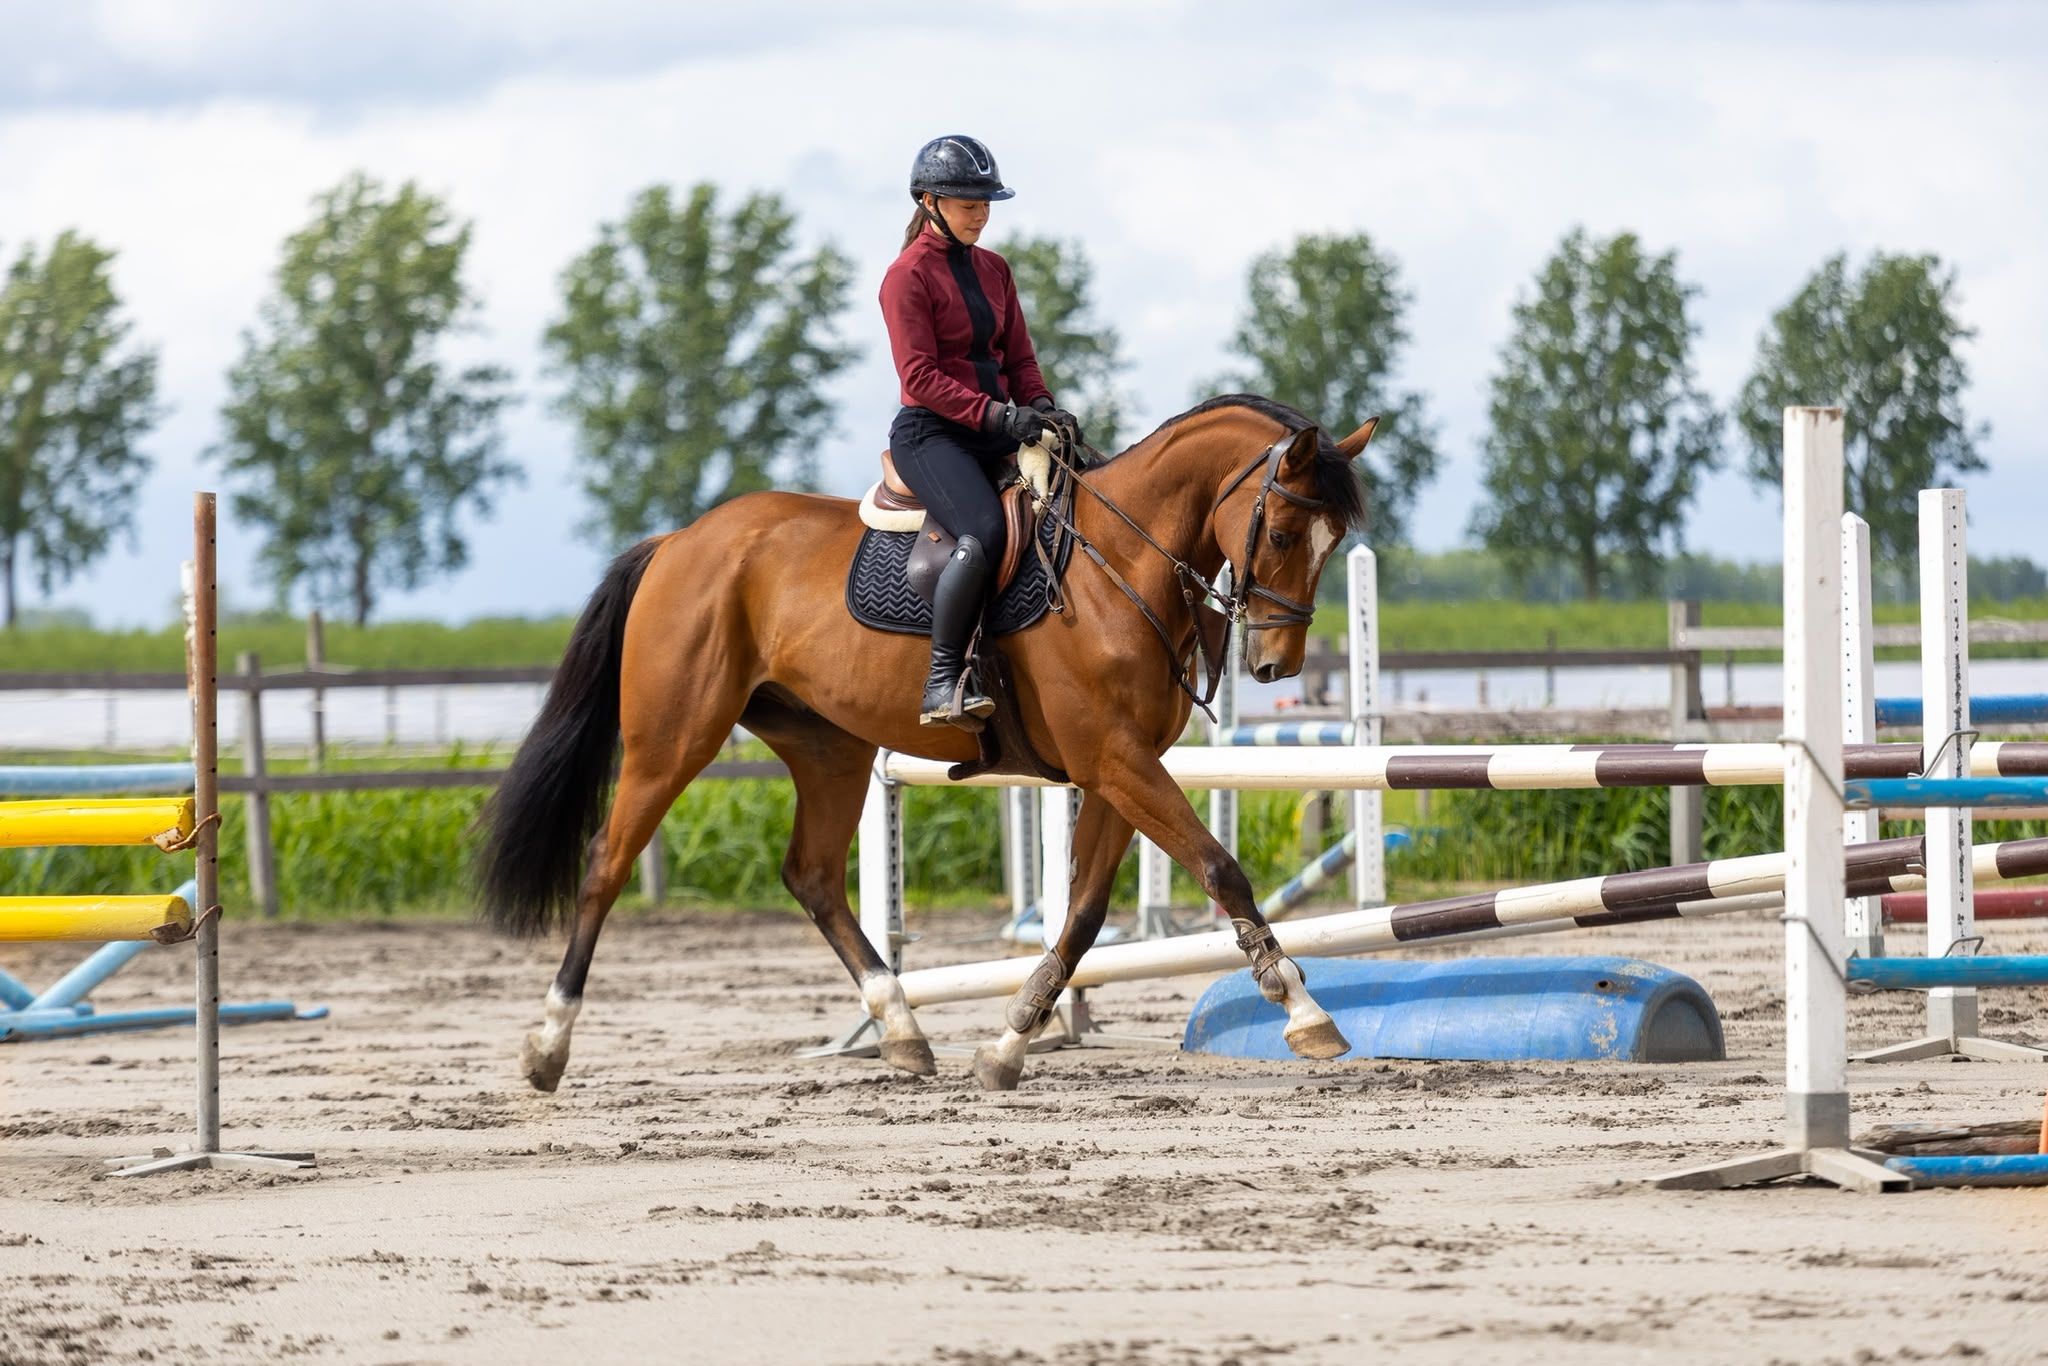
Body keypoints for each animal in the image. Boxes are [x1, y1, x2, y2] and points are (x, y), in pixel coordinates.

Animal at [475, 393, 1378, 1092]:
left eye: (1335, 543)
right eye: (1283, 534)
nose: (1272, 663)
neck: (1118, 561)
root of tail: (678, 542)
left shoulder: (1118, 768)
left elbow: (1085, 913)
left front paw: (1010, 1041)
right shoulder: (1115, 760)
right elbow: (1219, 870)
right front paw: (1305, 1010)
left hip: (829, 749)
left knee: (812, 877)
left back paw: (902, 1030)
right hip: (672, 739)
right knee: (607, 863)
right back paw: (548, 1046)